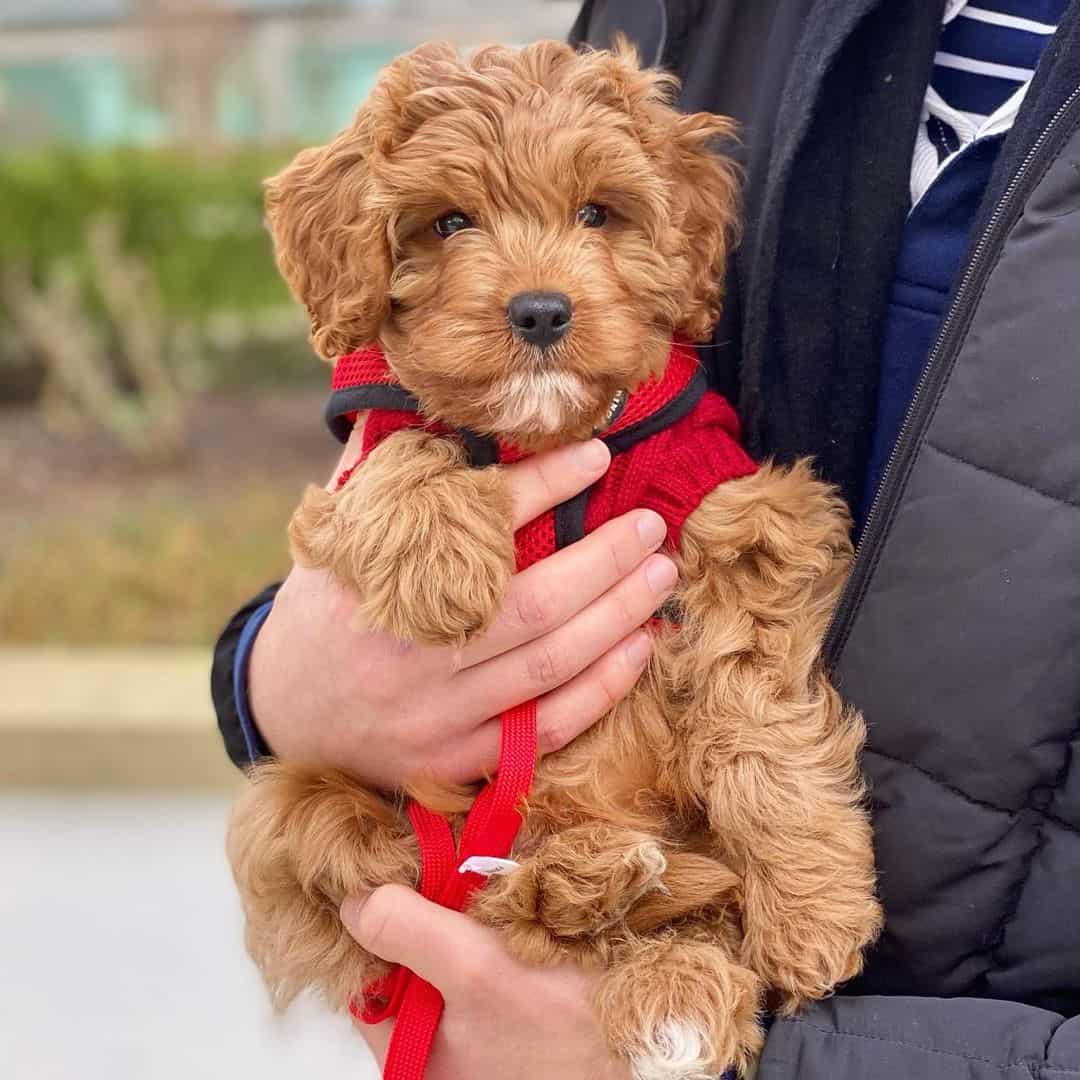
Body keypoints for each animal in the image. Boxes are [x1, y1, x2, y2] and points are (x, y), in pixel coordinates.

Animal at [225, 38, 876, 1075]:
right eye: (449, 222)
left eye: (597, 213)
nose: (539, 312)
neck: (545, 435)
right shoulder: (361, 454)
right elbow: (410, 443)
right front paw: (439, 556)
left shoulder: (739, 518)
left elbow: (759, 721)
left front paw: (814, 909)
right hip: (285, 800)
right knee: (393, 861)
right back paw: (585, 885)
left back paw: (654, 953)